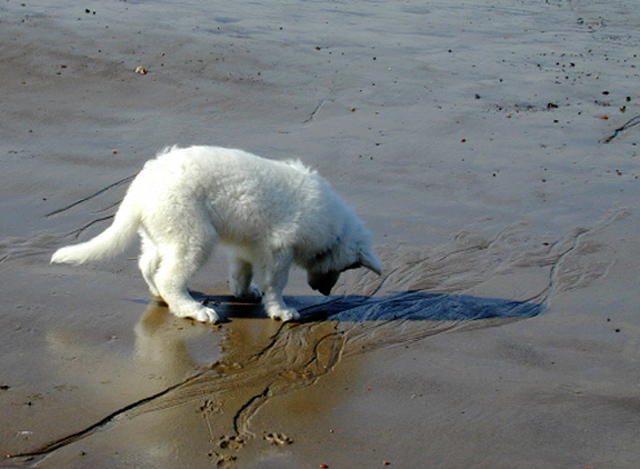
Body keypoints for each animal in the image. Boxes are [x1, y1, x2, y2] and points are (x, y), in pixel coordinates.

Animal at [51, 146, 380, 322]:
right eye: (347, 268)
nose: (325, 293)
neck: (332, 225)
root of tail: (139, 190)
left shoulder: (247, 246)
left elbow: (242, 272)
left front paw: (245, 293)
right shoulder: (278, 249)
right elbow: (276, 283)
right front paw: (281, 310)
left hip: (162, 232)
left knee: (148, 265)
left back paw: (160, 295)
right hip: (193, 235)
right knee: (168, 276)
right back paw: (192, 309)